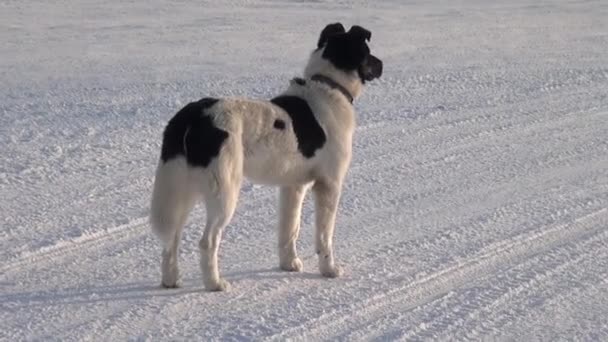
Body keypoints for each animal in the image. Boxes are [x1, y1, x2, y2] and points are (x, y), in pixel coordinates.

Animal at [150, 23, 382, 292]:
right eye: (367, 52)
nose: (382, 64)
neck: (328, 86)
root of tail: (194, 114)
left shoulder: (293, 186)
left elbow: (289, 229)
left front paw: (289, 264)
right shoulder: (329, 185)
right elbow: (325, 236)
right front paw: (329, 270)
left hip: (181, 189)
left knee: (171, 239)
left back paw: (171, 280)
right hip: (223, 191)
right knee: (207, 241)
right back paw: (215, 283)